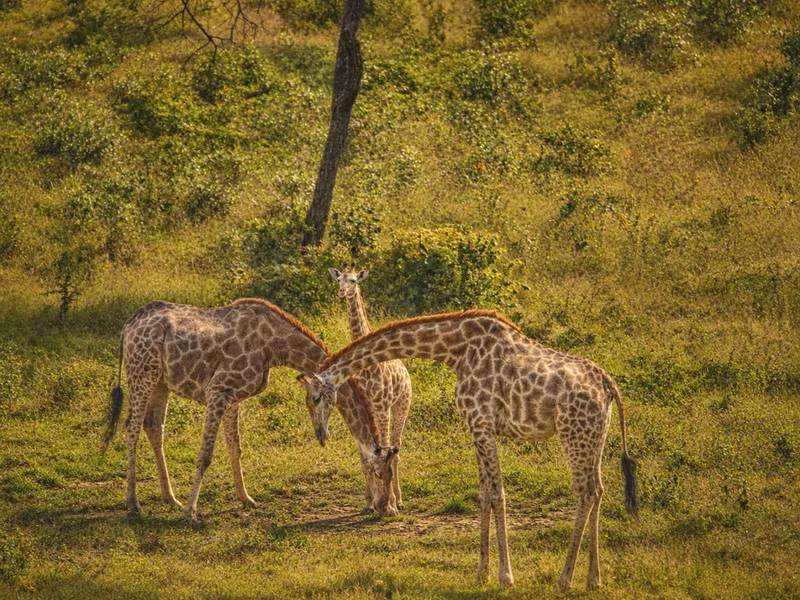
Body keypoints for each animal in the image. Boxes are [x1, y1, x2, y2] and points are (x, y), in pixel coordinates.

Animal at [102, 298, 400, 520]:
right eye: (378, 472)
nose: (385, 507)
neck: (273, 346)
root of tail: (128, 325)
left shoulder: (232, 397)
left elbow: (236, 449)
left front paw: (245, 498)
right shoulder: (217, 390)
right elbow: (206, 454)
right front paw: (191, 512)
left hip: (161, 381)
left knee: (154, 426)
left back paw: (170, 498)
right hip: (141, 372)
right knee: (131, 428)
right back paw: (133, 504)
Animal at [303, 310, 638, 591]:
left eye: (316, 398)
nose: (320, 434)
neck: (457, 351)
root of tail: (608, 385)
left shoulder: (482, 424)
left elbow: (498, 494)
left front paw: (505, 577)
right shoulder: (476, 427)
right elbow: (484, 494)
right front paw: (481, 573)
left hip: (572, 433)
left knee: (584, 491)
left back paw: (565, 579)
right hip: (594, 435)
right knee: (598, 489)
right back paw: (593, 579)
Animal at [328, 265, 412, 512]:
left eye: (354, 281)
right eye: (338, 280)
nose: (342, 293)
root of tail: (406, 372)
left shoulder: (382, 409)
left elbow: (386, 452)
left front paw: (389, 502)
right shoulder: (363, 408)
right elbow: (365, 458)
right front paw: (368, 502)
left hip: (401, 406)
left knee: (396, 448)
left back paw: (399, 500)